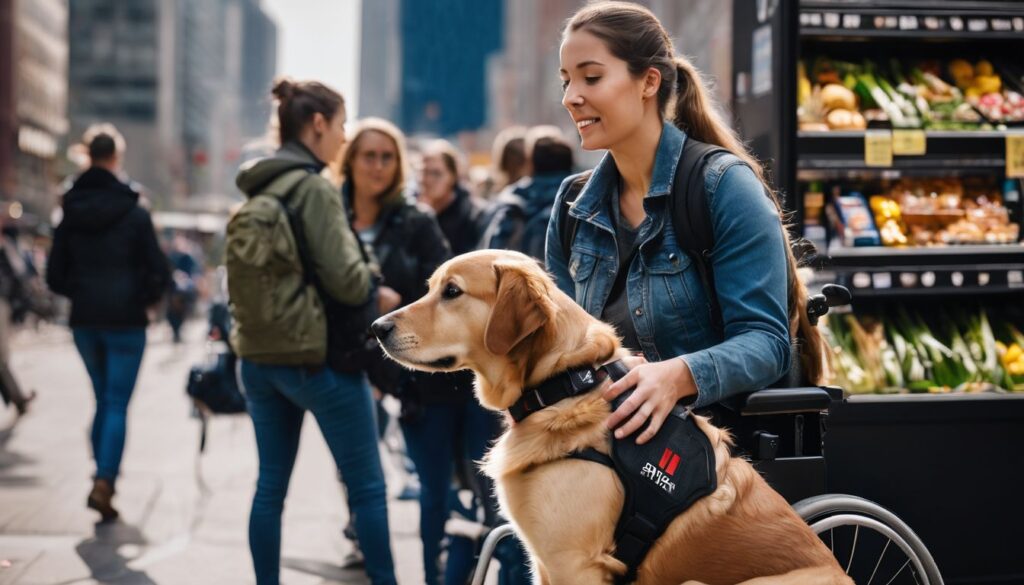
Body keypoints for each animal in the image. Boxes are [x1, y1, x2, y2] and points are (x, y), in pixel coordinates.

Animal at [372, 251, 851, 585]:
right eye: (432, 286)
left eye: (452, 292)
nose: (377, 327)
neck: (565, 383)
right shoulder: (544, 562)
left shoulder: (575, 563)